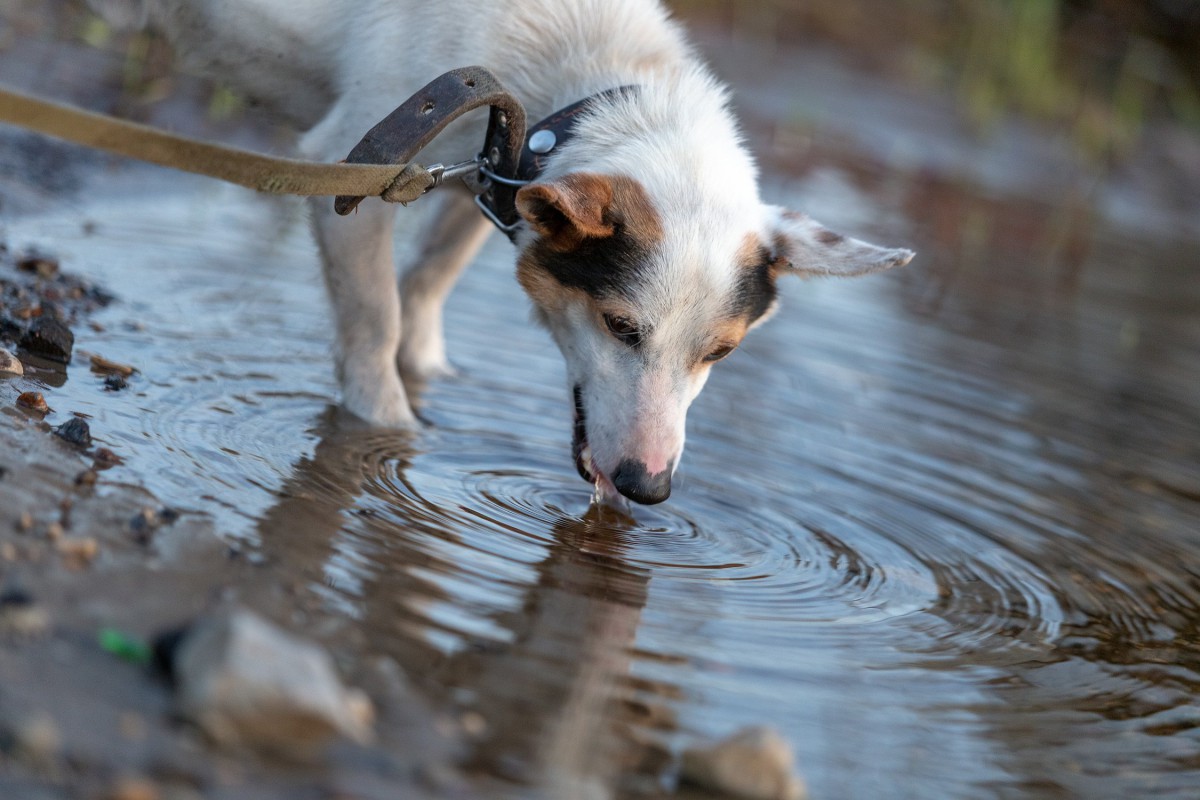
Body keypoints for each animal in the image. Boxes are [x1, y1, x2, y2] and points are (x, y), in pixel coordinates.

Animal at [87, 0, 907, 506]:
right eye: (620, 327)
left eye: (721, 354)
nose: (647, 490)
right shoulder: (348, 177)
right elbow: (376, 324)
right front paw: (387, 431)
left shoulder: (498, 173)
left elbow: (427, 285)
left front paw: (428, 370)